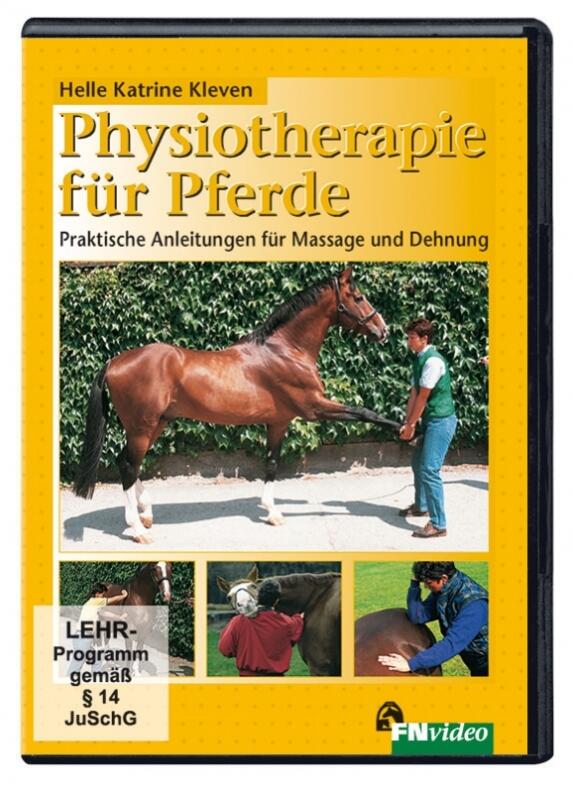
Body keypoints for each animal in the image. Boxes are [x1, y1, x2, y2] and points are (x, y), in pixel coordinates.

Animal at [72, 266, 390, 543]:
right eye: (358, 297)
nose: (383, 330)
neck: (285, 350)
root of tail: (114, 361)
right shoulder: (315, 407)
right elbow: (365, 412)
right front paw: (400, 428)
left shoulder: (279, 421)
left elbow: (271, 463)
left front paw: (272, 512)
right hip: (142, 427)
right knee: (128, 465)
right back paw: (138, 529)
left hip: (156, 424)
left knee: (128, 462)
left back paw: (146, 513)